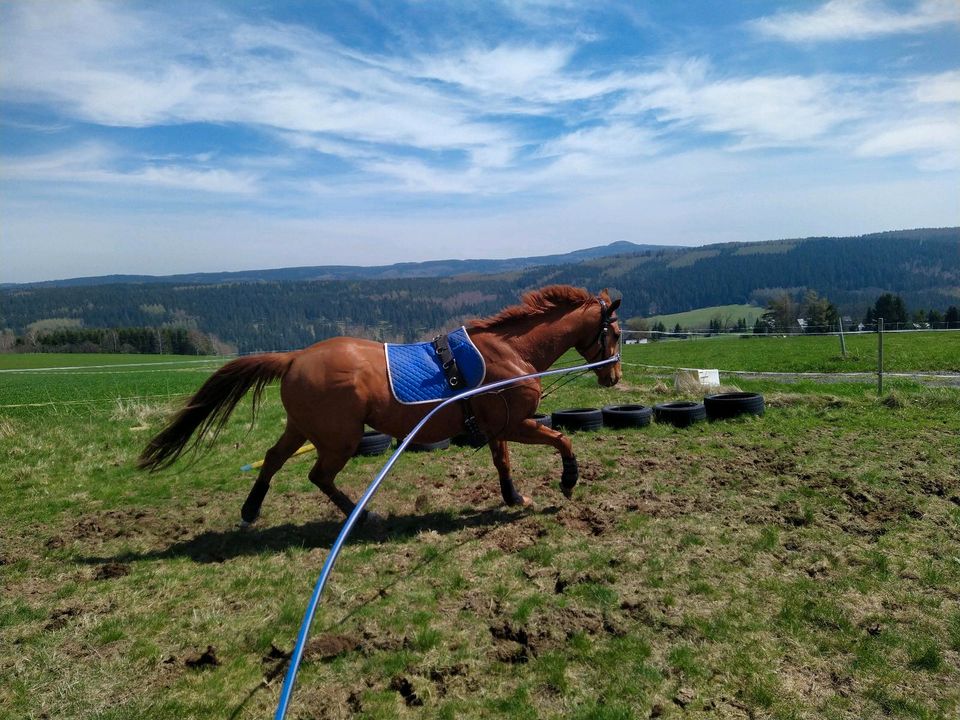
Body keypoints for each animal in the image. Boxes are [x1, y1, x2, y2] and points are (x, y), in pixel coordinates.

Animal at [141, 286, 624, 524]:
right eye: (615, 332)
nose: (614, 377)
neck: (513, 352)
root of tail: (295, 357)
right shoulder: (515, 423)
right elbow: (561, 439)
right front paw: (568, 481)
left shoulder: (497, 426)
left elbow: (503, 463)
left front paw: (513, 496)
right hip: (339, 439)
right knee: (318, 475)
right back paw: (363, 512)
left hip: (303, 428)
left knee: (273, 459)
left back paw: (250, 511)